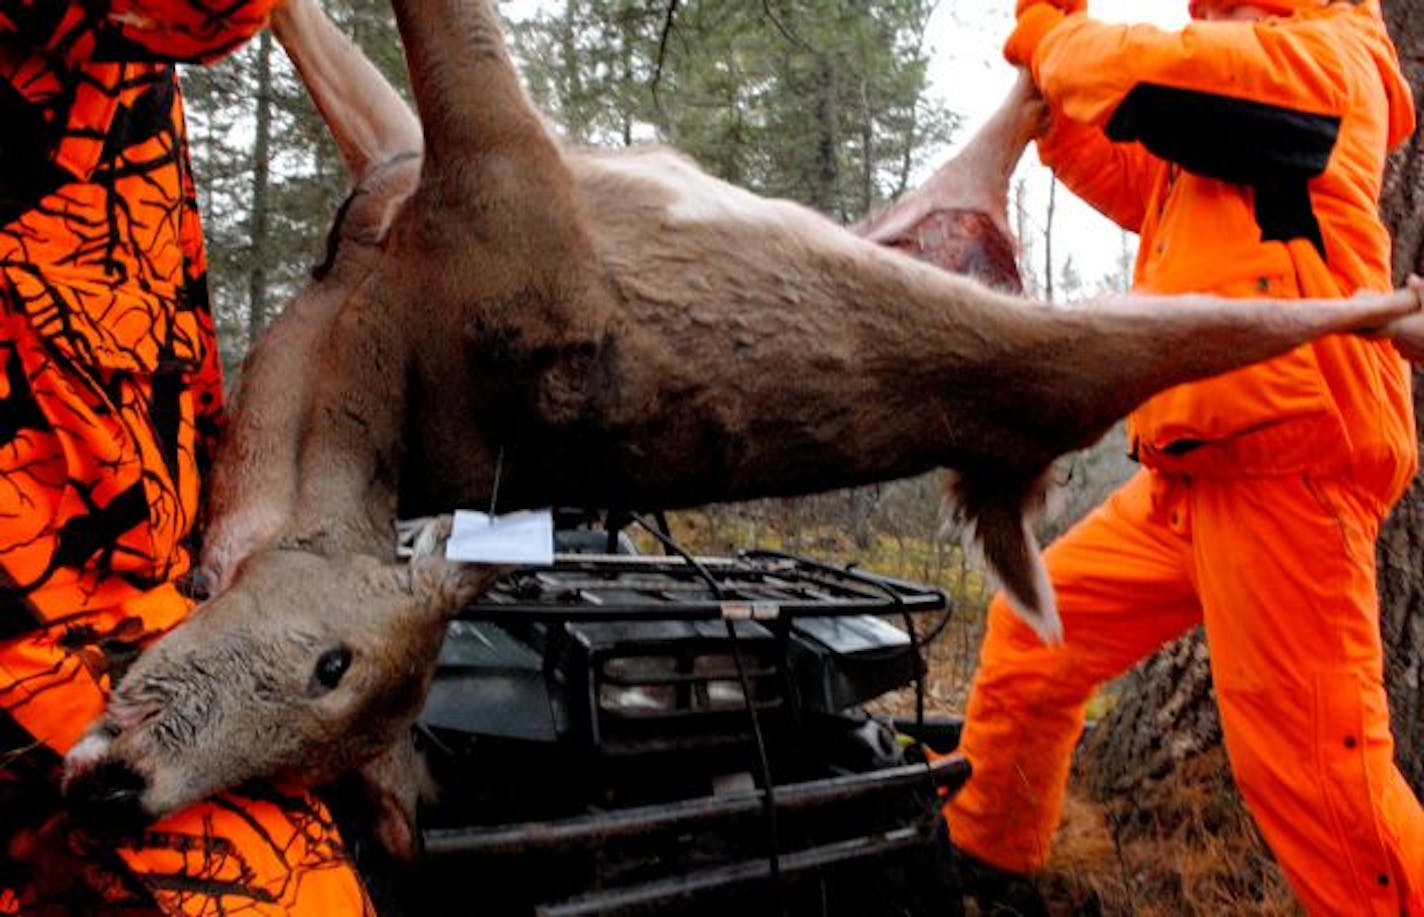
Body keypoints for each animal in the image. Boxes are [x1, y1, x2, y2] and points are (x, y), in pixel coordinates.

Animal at [66, 0, 1424, 837]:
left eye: (331, 666)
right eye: (311, 768)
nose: (114, 785)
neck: (348, 352)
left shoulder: (496, 196)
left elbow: (435, 46)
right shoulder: (426, 184)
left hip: (1127, 332)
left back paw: (1396, 304)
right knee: (1019, 135)